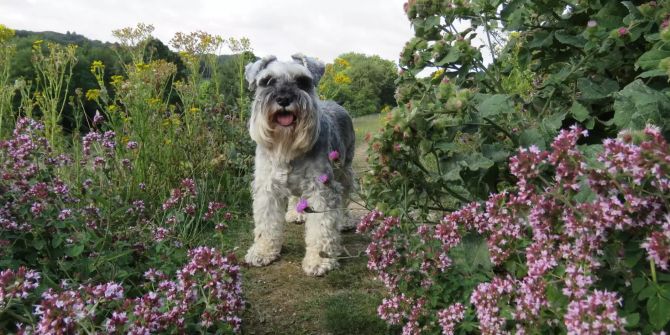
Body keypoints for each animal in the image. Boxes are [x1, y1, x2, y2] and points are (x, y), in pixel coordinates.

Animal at [243, 54, 356, 276]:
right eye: (266, 81)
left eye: (302, 81)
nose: (284, 99)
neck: (287, 146)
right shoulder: (267, 188)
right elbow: (266, 223)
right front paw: (263, 251)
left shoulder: (321, 188)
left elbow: (322, 227)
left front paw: (319, 260)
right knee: (297, 196)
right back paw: (296, 213)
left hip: (345, 170)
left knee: (346, 197)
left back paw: (346, 220)